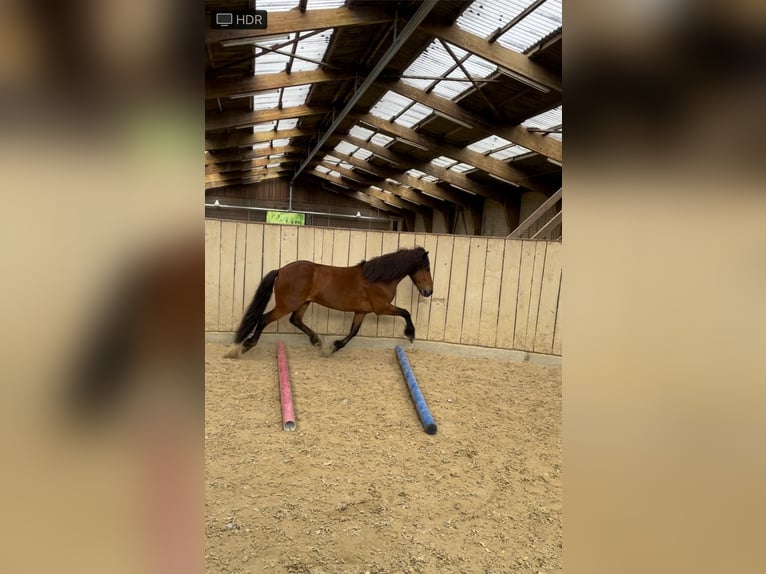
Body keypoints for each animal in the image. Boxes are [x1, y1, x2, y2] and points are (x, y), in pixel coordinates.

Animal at [226, 247, 433, 357]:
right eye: (427, 268)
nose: (428, 292)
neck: (377, 279)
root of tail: (281, 270)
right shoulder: (381, 308)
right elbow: (406, 312)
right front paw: (410, 334)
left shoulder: (361, 311)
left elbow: (353, 331)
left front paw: (334, 347)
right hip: (286, 305)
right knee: (264, 319)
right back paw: (247, 345)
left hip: (303, 303)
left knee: (296, 320)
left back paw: (317, 341)